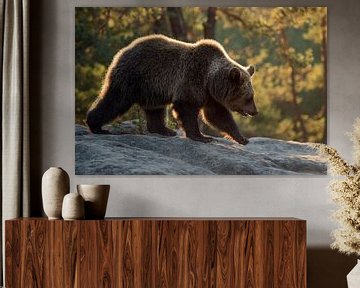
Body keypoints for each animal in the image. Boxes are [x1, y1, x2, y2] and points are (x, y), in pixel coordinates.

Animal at [86, 34, 258, 144]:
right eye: (249, 97)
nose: (255, 112)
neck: (210, 79)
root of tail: (122, 51)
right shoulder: (192, 79)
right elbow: (187, 108)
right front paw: (202, 137)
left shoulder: (210, 95)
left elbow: (218, 115)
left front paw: (242, 138)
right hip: (134, 76)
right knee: (115, 100)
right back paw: (96, 125)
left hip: (152, 88)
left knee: (155, 109)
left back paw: (164, 130)